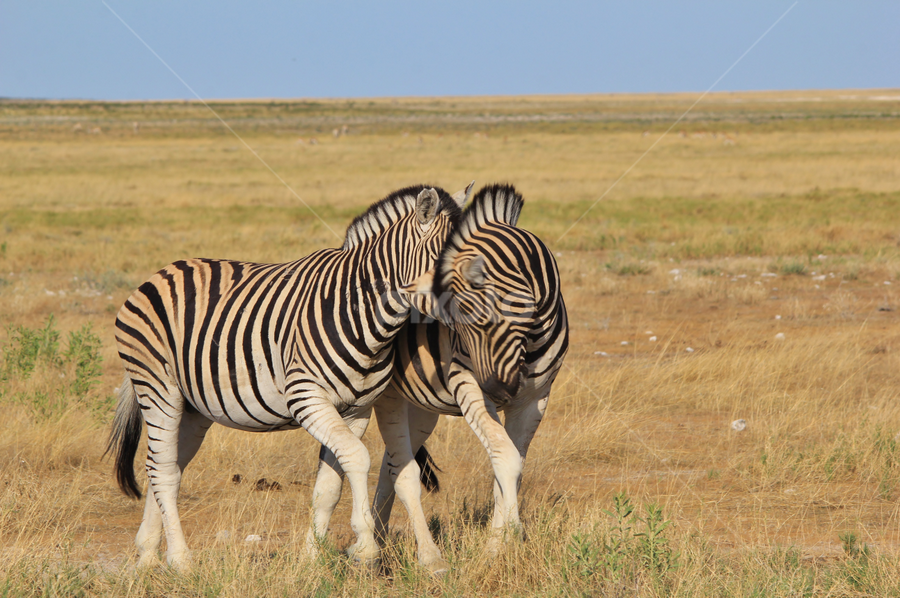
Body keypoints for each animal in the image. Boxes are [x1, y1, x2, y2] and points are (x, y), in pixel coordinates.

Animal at [106, 182, 474, 571]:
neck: (364, 318)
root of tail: (160, 272)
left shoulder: (355, 410)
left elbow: (330, 484)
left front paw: (314, 558)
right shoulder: (306, 397)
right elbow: (358, 457)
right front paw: (365, 546)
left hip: (194, 409)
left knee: (167, 468)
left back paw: (148, 554)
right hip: (158, 387)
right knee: (161, 469)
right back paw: (180, 559)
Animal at [307, 184, 569, 573]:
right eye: (466, 321)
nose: (499, 390)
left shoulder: (535, 398)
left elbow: (511, 466)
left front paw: (500, 540)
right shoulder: (469, 385)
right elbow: (505, 458)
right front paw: (504, 544)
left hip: (423, 407)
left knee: (391, 466)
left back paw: (378, 541)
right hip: (387, 398)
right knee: (386, 467)